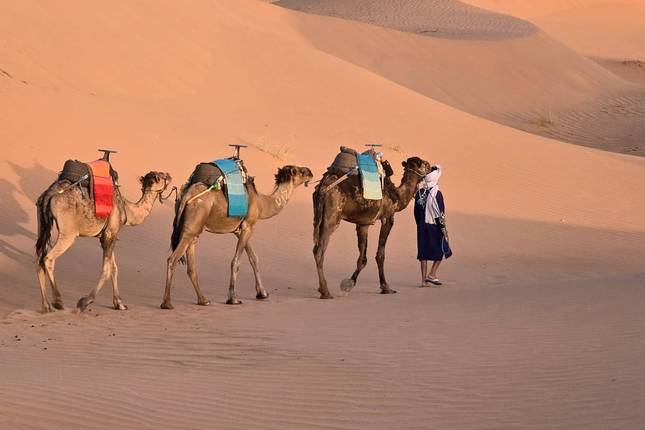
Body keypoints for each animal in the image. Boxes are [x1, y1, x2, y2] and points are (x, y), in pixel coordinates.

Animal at [35, 171, 172, 313]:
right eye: (159, 177)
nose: (169, 175)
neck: (127, 208)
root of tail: (50, 194)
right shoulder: (111, 232)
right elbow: (106, 270)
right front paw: (84, 302)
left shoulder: (106, 237)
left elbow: (114, 268)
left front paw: (119, 304)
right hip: (68, 233)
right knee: (48, 258)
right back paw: (58, 302)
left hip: (42, 222)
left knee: (39, 259)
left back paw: (46, 306)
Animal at [160, 165, 313, 309]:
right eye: (300, 171)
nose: (310, 172)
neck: (261, 203)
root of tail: (186, 195)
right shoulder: (248, 225)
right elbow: (236, 261)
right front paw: (233, 298)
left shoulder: (240, 230)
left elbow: (254, 258)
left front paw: (262, 293)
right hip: (192, 225)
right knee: (172, 259)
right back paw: (167, 303)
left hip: (193, 229)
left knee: (191, 266)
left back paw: (203, 300)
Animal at [312, 155, 431, 298]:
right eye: (424, 163)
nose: (432, 167)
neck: (397, 197)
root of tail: (322, 187)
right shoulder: (388, 218)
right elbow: (380, 255)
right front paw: (386, 287)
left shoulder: (364, 223)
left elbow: (362, 258)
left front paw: (349, 283)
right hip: (331, 217)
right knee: (319, 251)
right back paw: (326, 292)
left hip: (319, 217)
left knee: (315, 248)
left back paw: (321, 289)